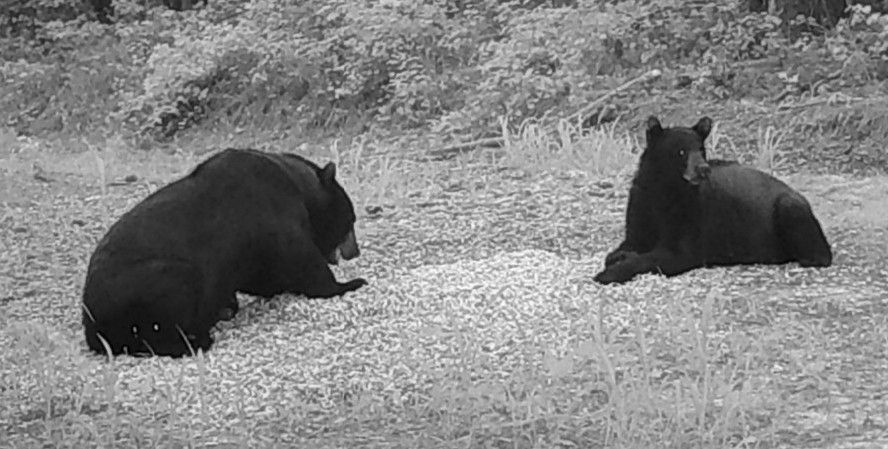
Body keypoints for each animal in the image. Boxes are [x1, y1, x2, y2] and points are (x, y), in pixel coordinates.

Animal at [82, 148, 367, 357]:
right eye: (351, 219)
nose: (355, 251)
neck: (297, 185)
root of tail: (90, 323)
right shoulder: (271, 211)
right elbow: (299, 257)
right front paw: (349, 283)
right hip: (144, 283)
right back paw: (197, 339)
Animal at [594, 116, 832, 285]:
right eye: (681, 151)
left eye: (701, 150)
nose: (703, 169)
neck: (665, 190)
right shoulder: (642, 203)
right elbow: (630, 241)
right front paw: (618, 256)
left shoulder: (691, 215)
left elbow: (671, 254)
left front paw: (611, 272)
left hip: (788, 206)